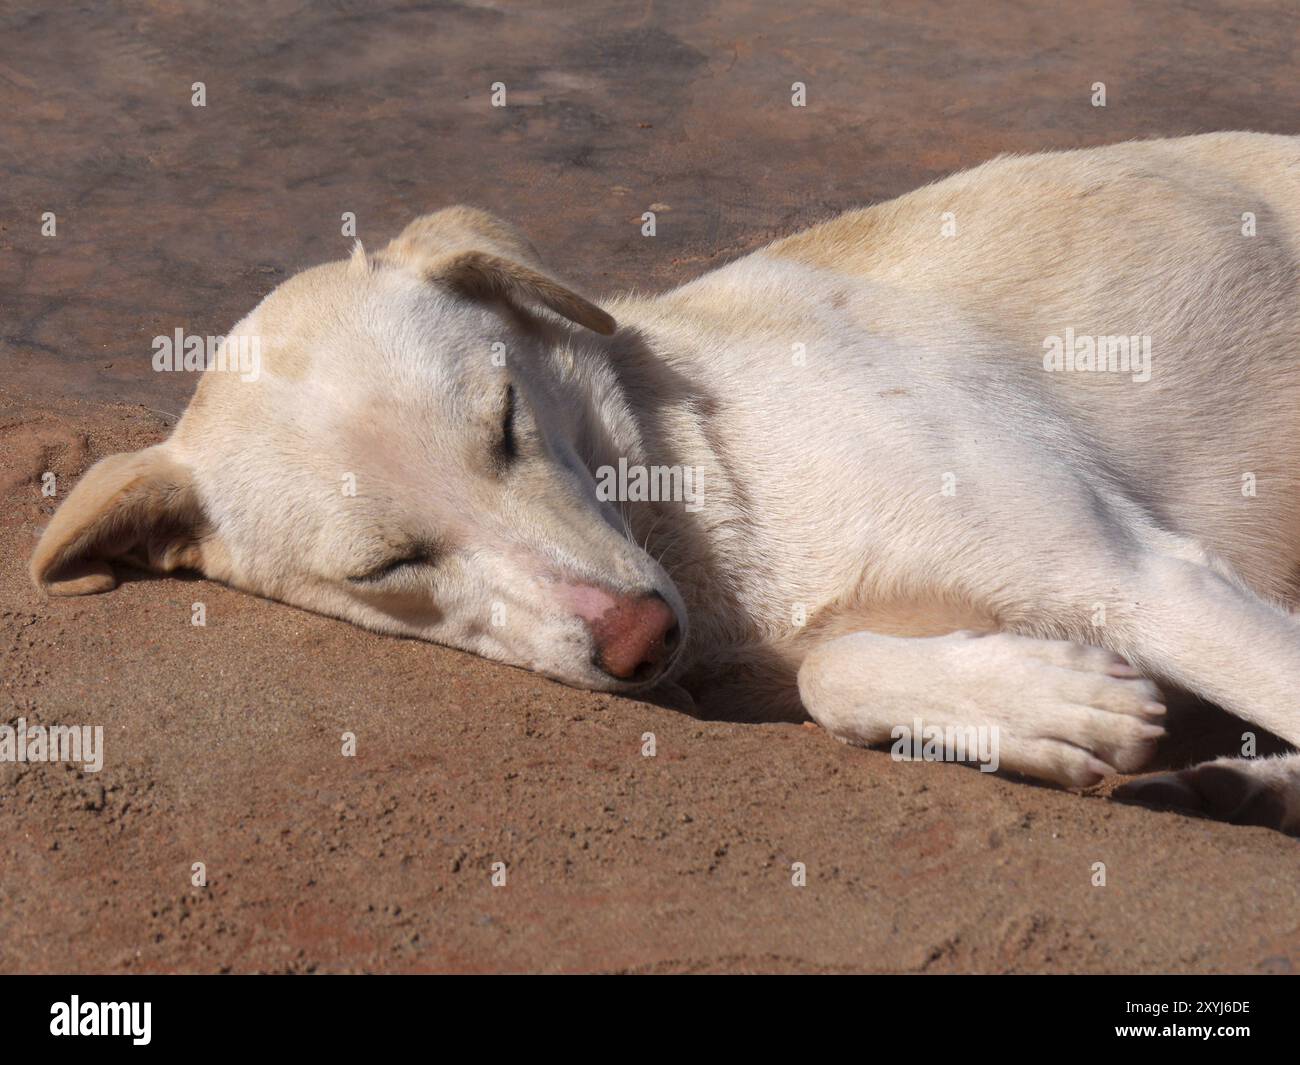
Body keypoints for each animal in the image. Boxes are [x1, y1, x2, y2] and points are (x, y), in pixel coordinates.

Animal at [30, 131, 1300, 832]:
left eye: (504, 424)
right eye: (389, 564)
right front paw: (1046, 706)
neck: (700, 491)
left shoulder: (1134, 573)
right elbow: (834, 674)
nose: (637, 639)